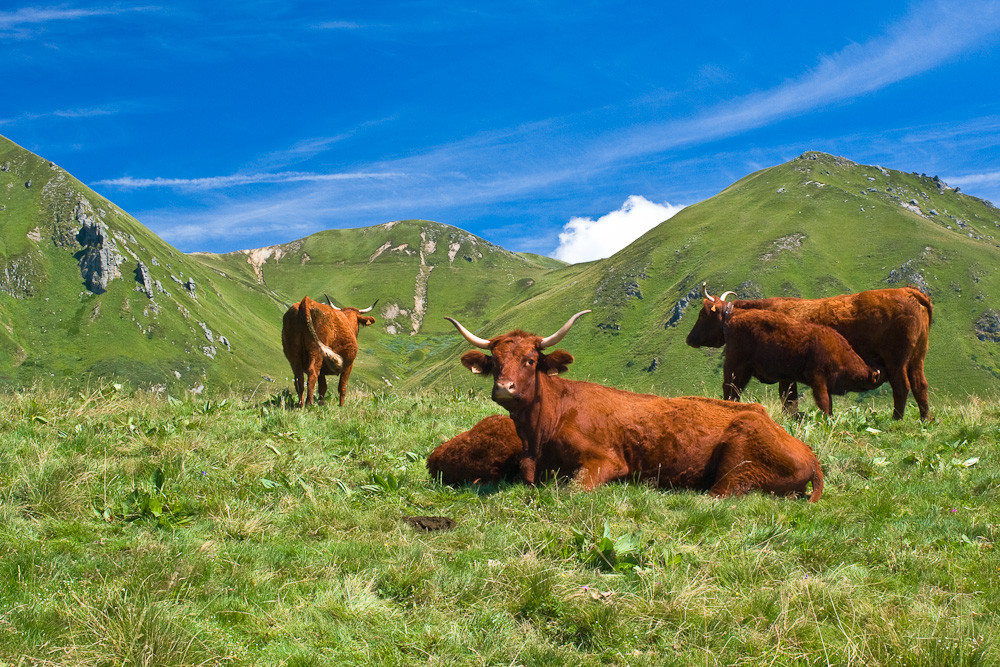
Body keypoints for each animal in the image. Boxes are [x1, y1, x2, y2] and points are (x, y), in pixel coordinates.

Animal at [450, 314, 824, 500]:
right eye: (495, 362)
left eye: (530, 360)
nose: (504, 388)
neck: (539, 434)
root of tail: (808, 452)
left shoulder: (606, 461)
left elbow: (570, 489)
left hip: (739, 465)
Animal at [720, 310, 884, 414]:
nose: (876, 376)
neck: (838, 352)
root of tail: (733, 318)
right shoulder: (818, 379)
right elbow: (824, 402)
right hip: (735, 367)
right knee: (730, 388)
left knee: (735, 390)